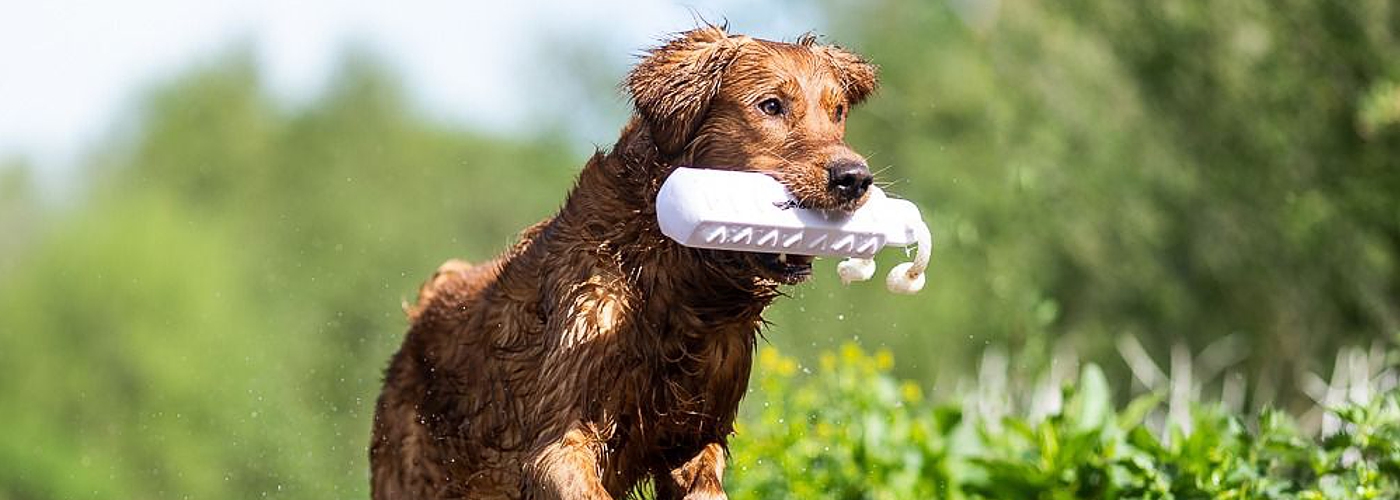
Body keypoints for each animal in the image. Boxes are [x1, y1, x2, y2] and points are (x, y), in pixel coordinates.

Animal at [366, 27, 879, 498]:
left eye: (837, 112)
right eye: (771, 105)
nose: (854, 178)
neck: (673, 278)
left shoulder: (697, 434)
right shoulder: (561, 435)